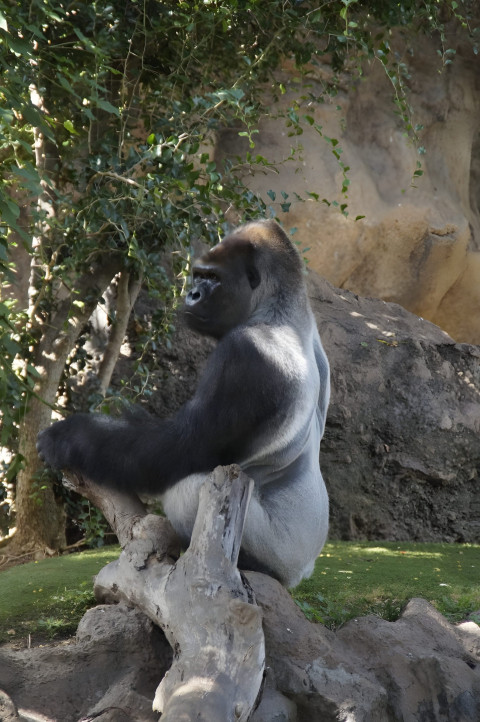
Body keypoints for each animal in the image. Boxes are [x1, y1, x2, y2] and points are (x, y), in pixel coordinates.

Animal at [37, 219, 330, 587]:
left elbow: (180, 449)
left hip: (282, 557)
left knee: (187, 491)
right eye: (198, 275)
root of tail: (303, 571)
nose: (192, 294)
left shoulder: (246, 354)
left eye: (213, 278)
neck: (281, 308)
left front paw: (71, 437)